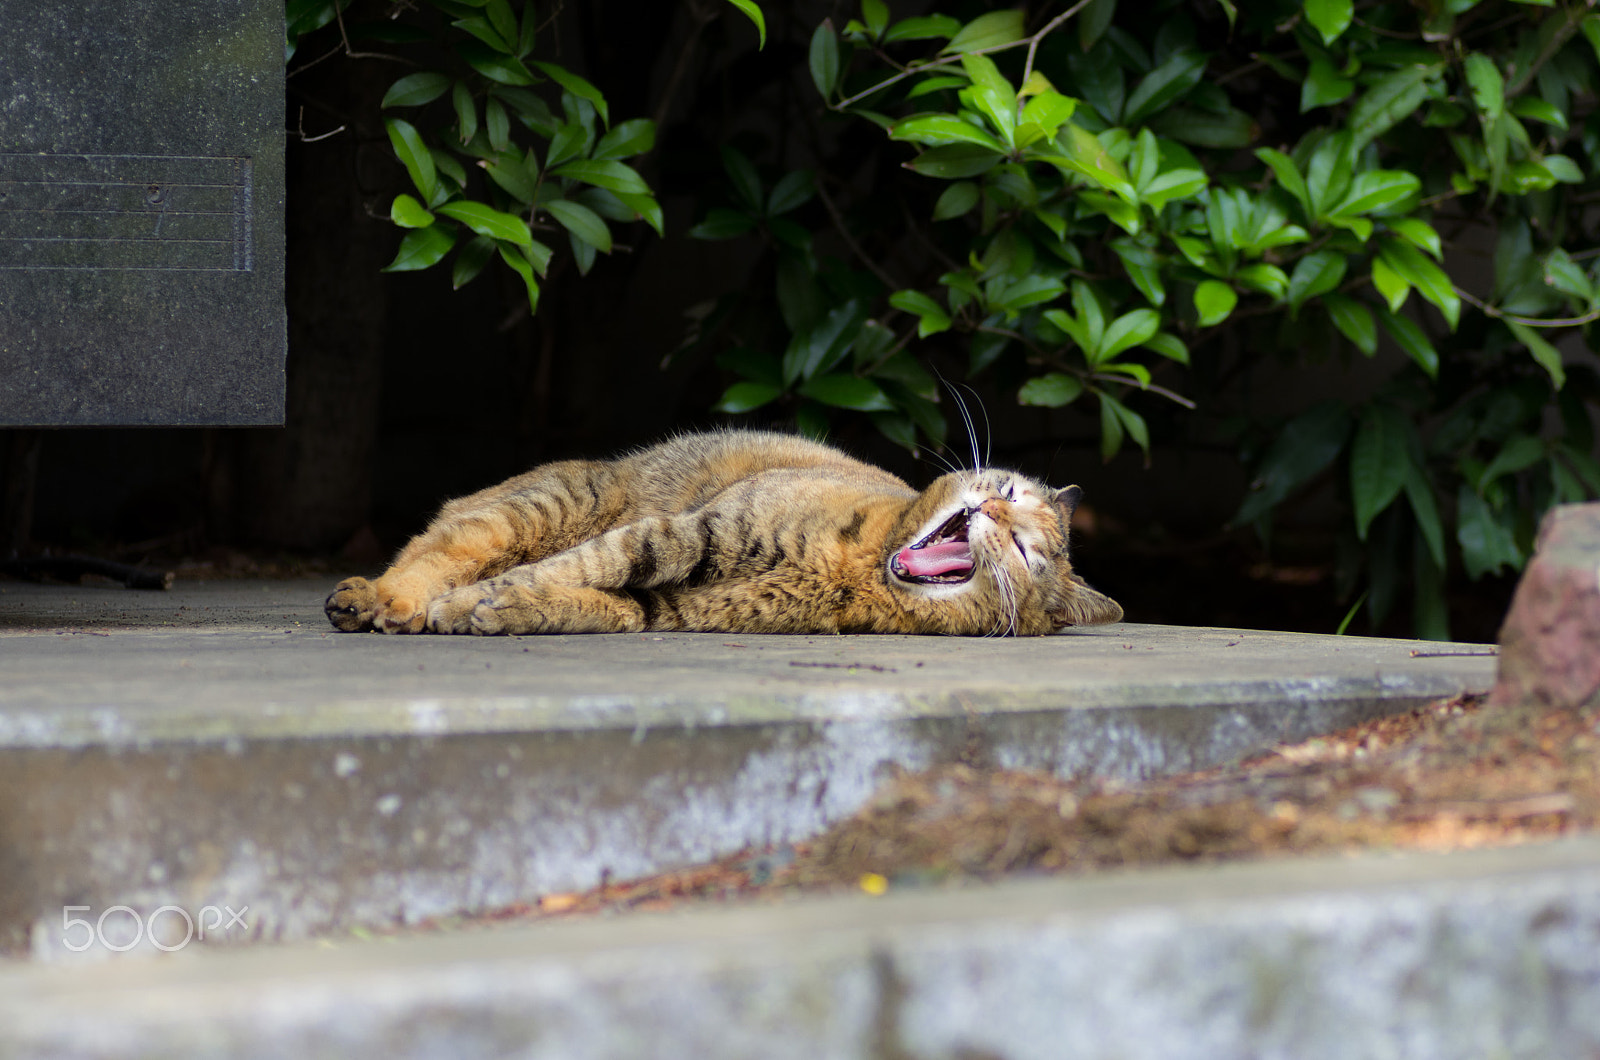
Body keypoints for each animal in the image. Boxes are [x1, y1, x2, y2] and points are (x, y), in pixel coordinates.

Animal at [324, 432, 1126, 640]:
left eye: (1024, 553)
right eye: (1010, 493)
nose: (992, 511)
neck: (861, 566)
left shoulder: (675, 606)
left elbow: (594, 598)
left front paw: (503, 611)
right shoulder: (686, 530)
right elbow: (581, 565)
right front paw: (465, 605)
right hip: (549, 504)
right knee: (439, 544)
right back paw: (382, 599)